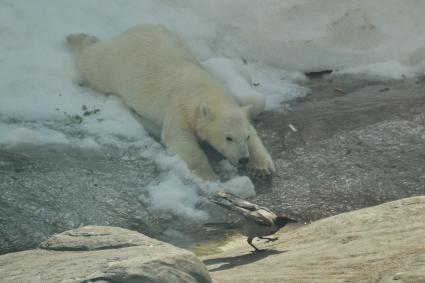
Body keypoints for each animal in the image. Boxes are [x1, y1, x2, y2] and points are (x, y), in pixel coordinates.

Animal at [65, 23, 274, 180]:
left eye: (245, 137)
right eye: (228, 137)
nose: (243, 159)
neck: (203, 90)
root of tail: (133, 30)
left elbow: (253, 129)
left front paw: (263, 166)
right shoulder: (179, 107)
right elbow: (179, 138)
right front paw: (210, 176)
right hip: (116, 65)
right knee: (94, 62)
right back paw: (76, 37)